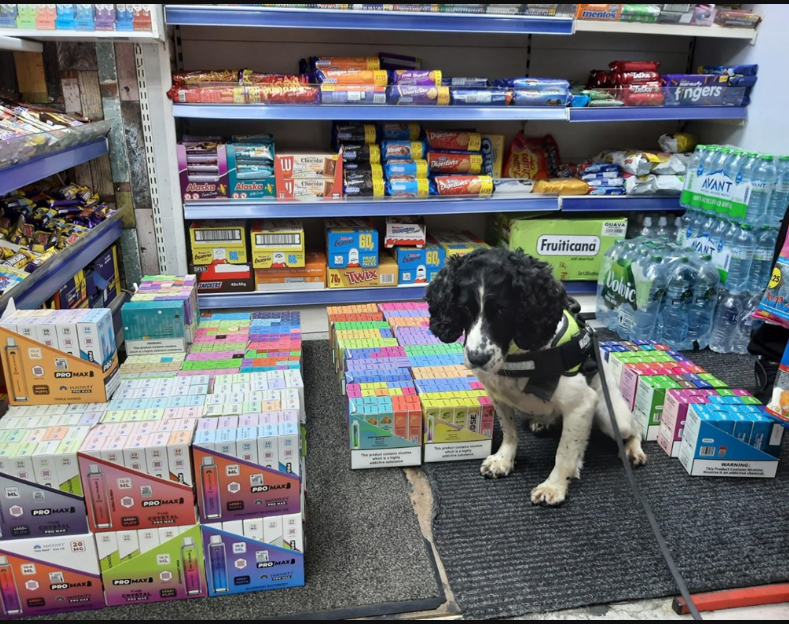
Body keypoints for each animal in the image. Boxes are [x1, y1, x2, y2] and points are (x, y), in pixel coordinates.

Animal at [424, 246, 648, 504]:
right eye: (464, 308)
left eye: (502, 310)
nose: (476, 358)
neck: (518, 355)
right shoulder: (498, 397)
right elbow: (510, 432)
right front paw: (504, 461)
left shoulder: (581, 405)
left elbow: (564, 453)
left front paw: (554, 486)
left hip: (612, 417)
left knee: (634, 430)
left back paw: (633, 450)